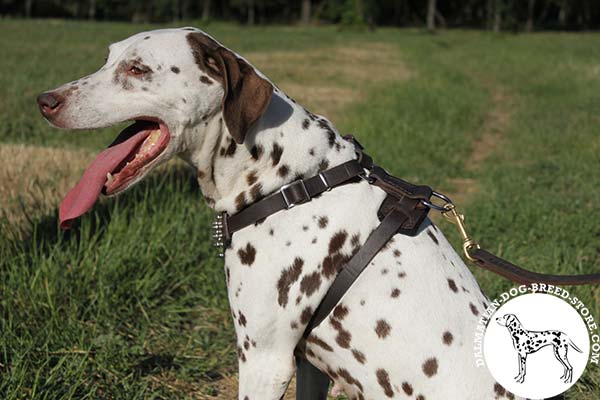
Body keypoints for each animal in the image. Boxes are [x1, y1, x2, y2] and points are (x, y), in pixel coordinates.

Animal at [38, 28, 524, 400]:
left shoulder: (264, 360)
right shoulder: (309, 365)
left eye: (137, 69)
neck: (293, 181)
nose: (45, 100)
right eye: (108, 59)